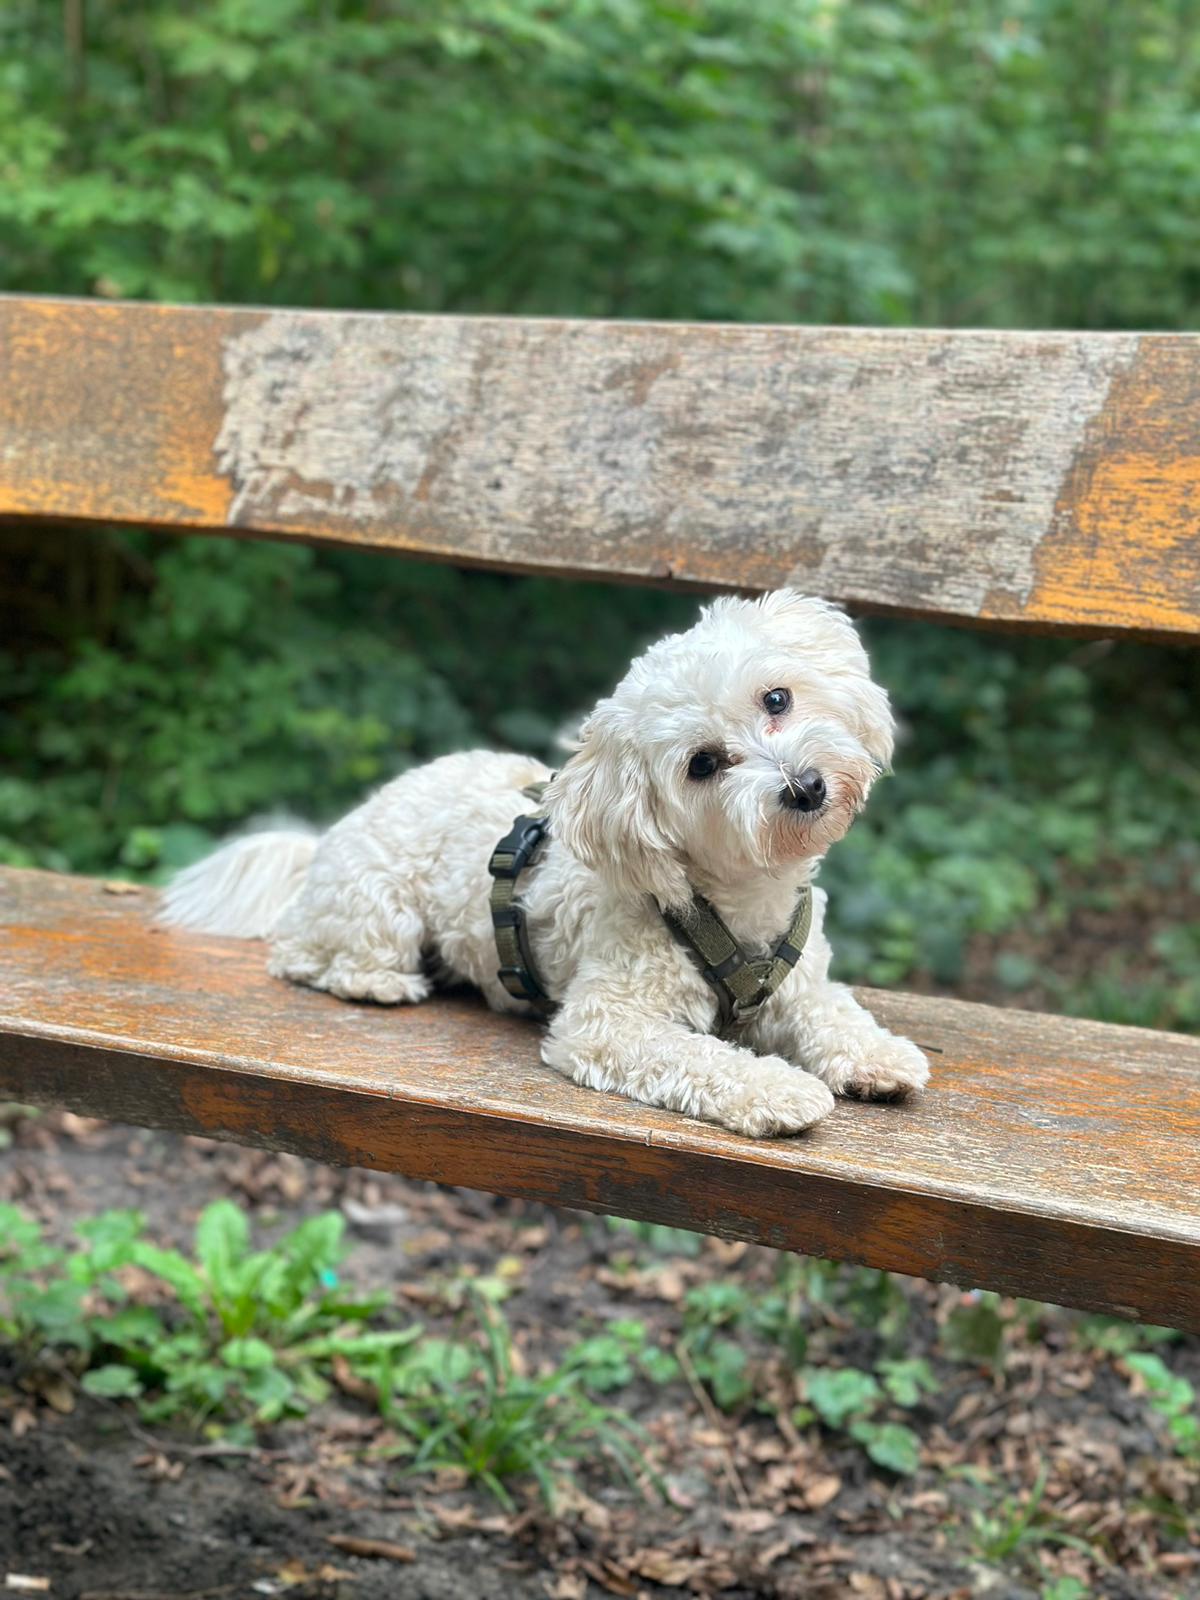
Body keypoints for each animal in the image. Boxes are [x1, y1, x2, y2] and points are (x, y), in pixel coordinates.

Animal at [162, 592, 928, 1139]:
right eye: (703, 765)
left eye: (777, 698)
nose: (805, 787)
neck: (729, 900)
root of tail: (326, 839)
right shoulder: (607, 1021)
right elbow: (701, 1056)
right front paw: (778, 1088)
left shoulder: (802, 987)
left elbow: (836, 1013)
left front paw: (880, 1055)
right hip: (375, 907)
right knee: (303, 953)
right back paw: (378, 983)